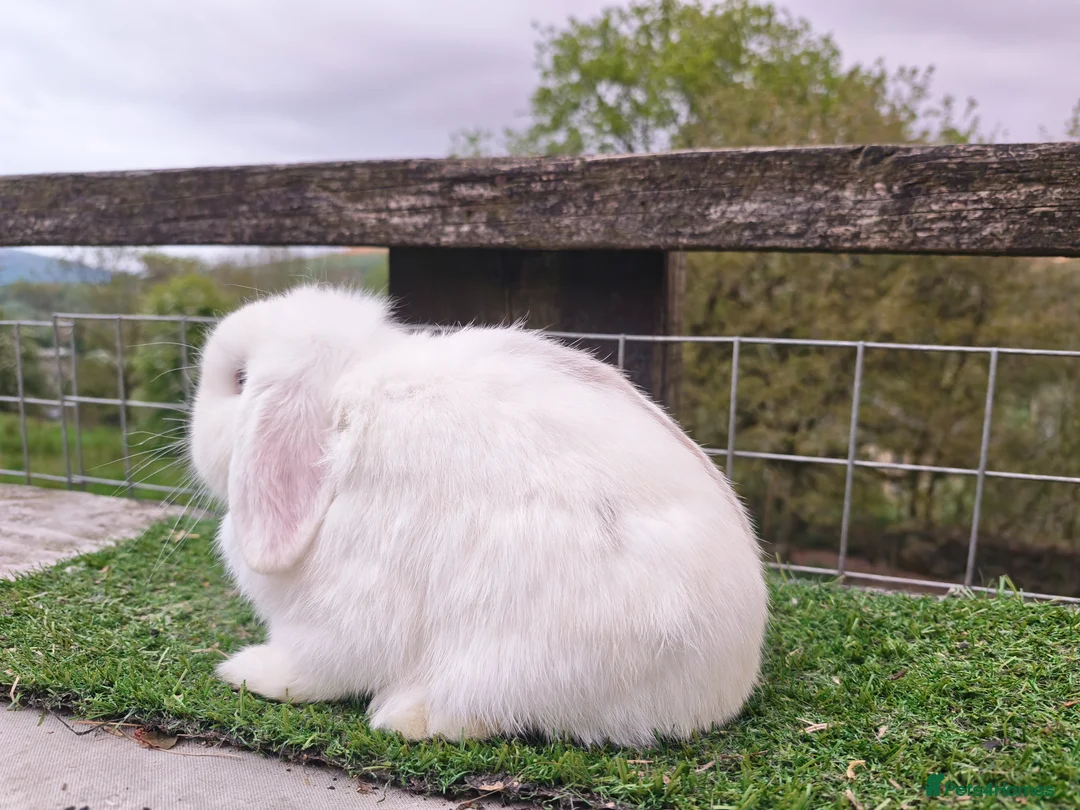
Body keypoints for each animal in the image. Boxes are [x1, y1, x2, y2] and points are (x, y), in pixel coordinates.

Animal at [189, 283, 769, 748]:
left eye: (239, 380)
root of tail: (720, 690)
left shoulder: (342, 605)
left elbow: (315, 666)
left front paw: (245, 671)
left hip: (519, 650)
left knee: (480, 711)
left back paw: (403, 715)